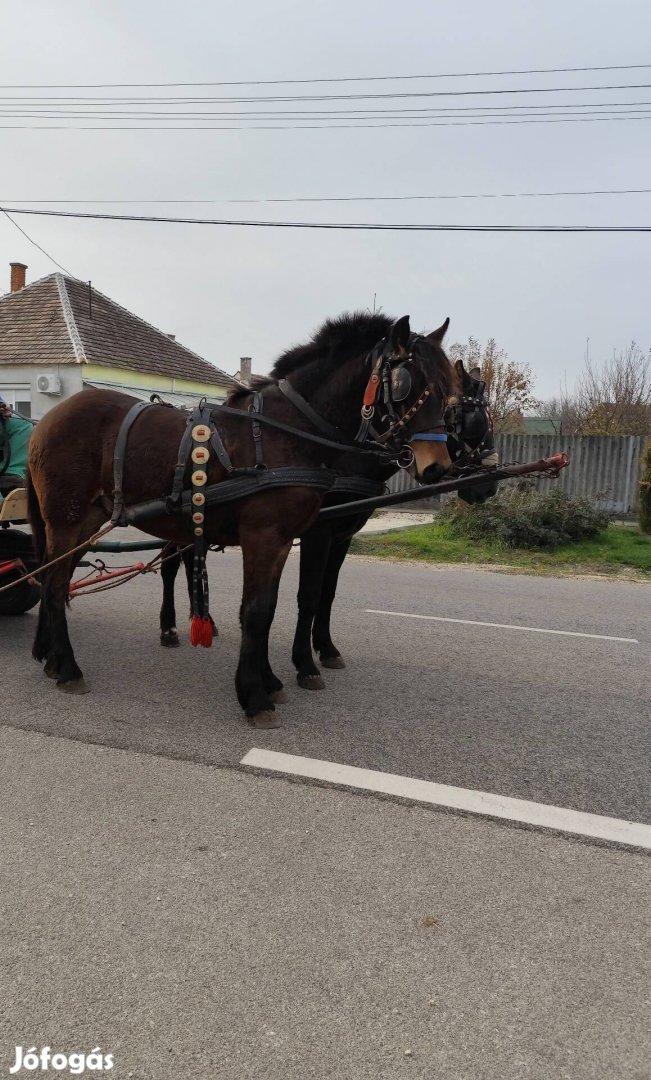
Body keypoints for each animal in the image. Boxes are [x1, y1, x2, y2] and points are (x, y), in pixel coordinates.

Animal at [28, 311, 457, 725]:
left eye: (448, 389)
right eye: (407, 383)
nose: (437, 466)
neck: (287, 433)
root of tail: (47, 420)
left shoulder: (284, 541)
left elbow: (270, 608)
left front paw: (269, 681)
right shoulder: (265, 537)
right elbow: (256, 611)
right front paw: (255, 696)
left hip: (83, 522)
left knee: (54, 580)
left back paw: (51, 657)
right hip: (66, 521)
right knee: (54, 585)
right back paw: (68, 668)